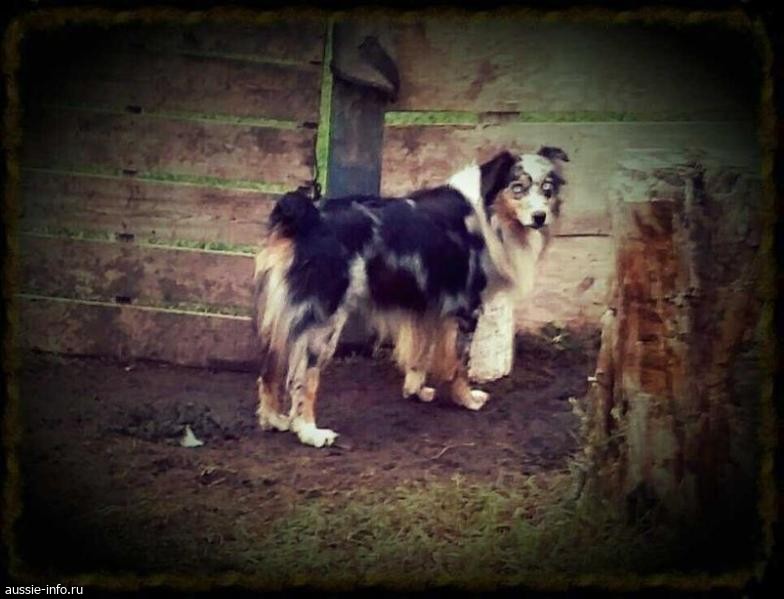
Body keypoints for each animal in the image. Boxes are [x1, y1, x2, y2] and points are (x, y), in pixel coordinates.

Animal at [252, 147, 569, 447]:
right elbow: (460, 365)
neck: (487, 213)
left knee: (269, 369)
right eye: (517, 187)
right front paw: (467, 400)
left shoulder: (426, 306)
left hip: (283, 316)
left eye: (547, 189)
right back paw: (309, 431)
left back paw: (273, 419)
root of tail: (308, 216)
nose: (540, 217)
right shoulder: (466, 308)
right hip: (323, 320)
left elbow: (420, 356)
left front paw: (416, 391)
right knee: (301, 378)